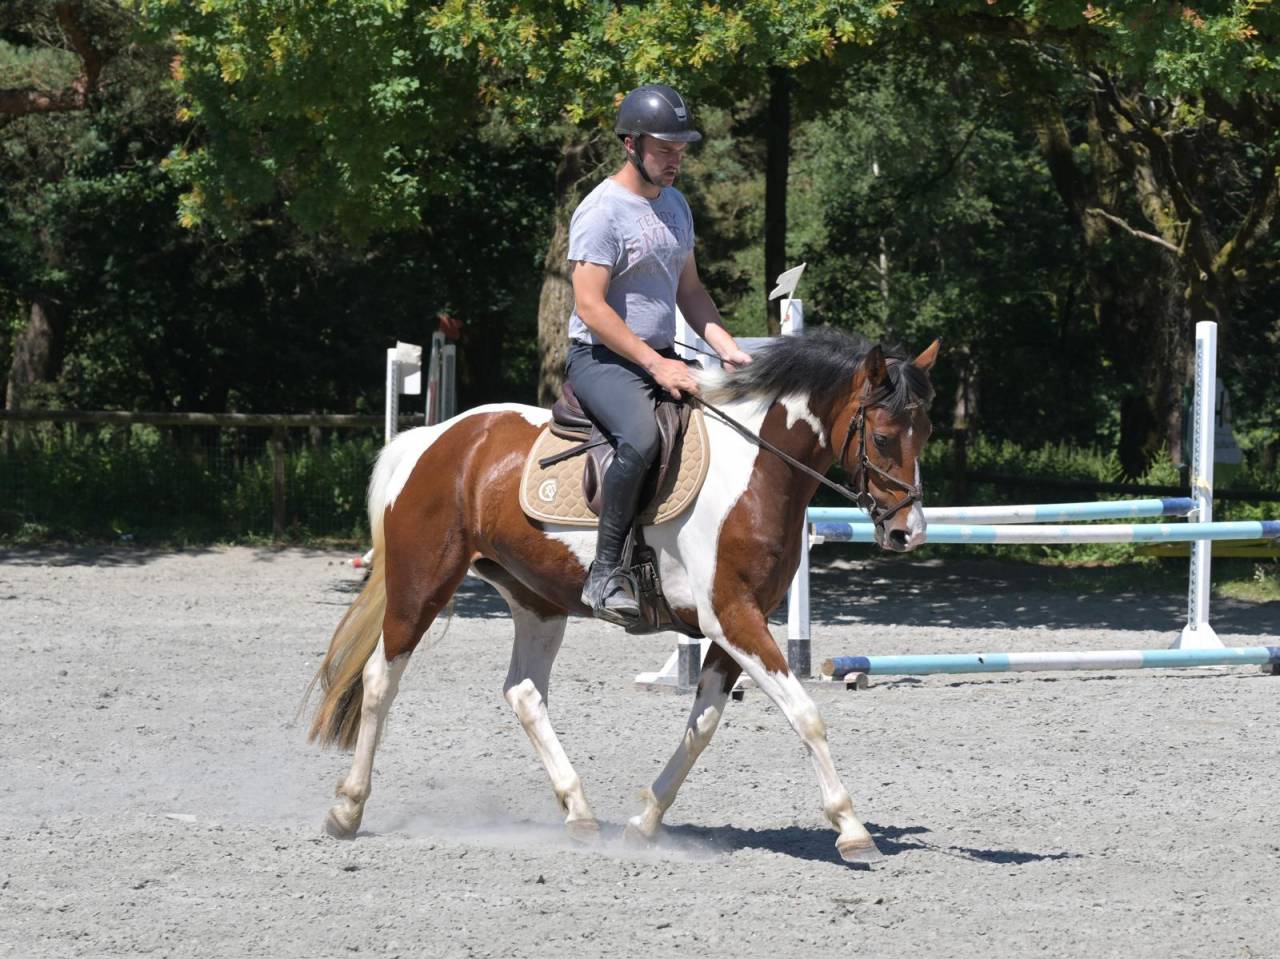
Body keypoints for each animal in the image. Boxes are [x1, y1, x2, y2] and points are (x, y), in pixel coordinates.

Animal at [308, 327, 938, 864]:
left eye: (925, 434)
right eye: (884, 437)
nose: (908, 533)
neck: (757, 469)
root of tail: (434, 439)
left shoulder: (733, 624)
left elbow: (703, 725)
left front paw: (645, 822)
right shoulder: (733, 617)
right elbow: (805, 714)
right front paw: (851, 828)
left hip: (538, 600)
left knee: (524, 692)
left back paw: (580, 812)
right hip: (423, 583)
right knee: (380, 680)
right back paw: (346, 808)